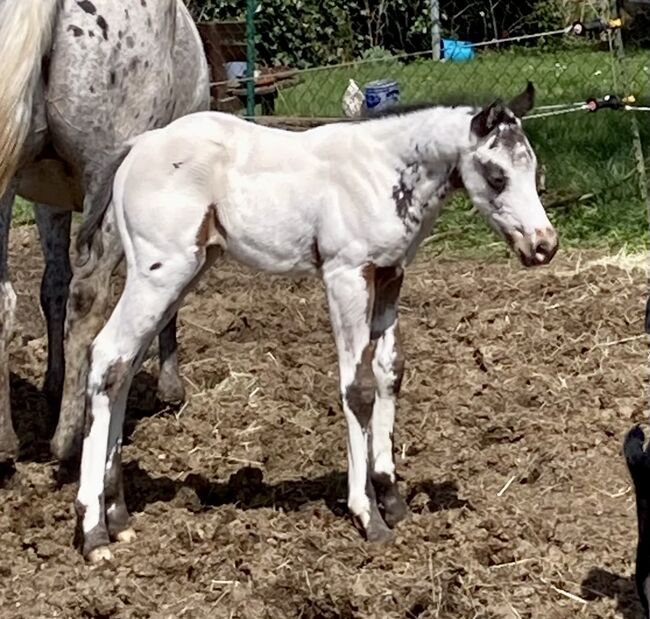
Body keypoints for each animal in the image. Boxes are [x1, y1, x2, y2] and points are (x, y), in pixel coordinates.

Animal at [0, 0, 209, 464]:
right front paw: (170, 387)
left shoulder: (49, 200)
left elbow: (52, 288)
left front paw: (55, 382)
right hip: (110, 177)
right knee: (89, 296)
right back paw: (68, 439)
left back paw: (5, 441)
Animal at [73, 81, 556, 560]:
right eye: (497, 176)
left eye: (533, 170)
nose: (543, 246)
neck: (381, 171)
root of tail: (139, 146)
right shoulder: (346, 275)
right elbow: (358, 388)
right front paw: (369, 515)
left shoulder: (390, 273)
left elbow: (389, 373)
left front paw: (392, 498)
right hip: (159, 273)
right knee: (108, 356)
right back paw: (93, 531)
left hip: (185, 273)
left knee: (124, 367)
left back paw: (118, 517)